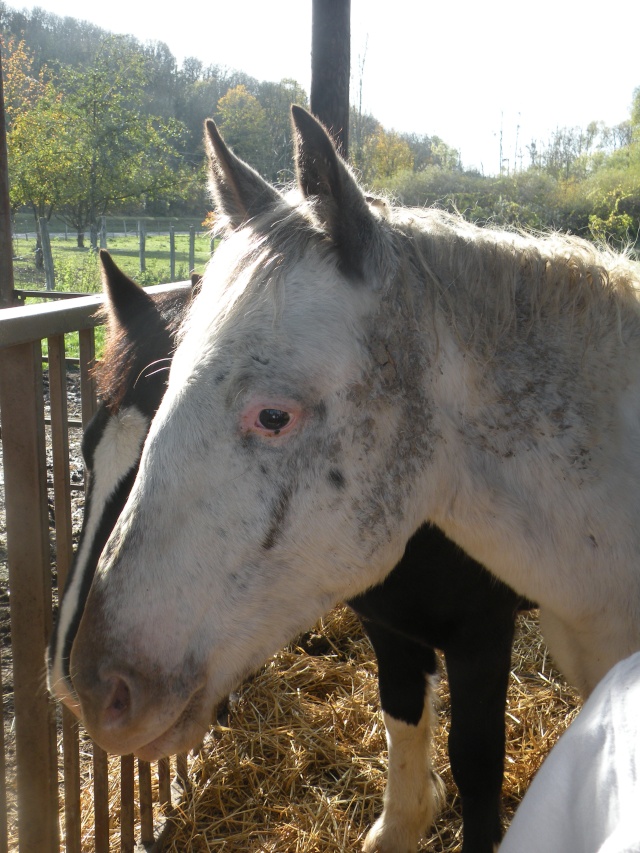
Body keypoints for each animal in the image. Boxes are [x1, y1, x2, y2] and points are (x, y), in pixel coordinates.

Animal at [50, 253, 528, 852]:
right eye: (89, 446)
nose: (78, 682)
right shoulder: (388, 623)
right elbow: (402, 712)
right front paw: (402, 824)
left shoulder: (483, 634)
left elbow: (477, 764)